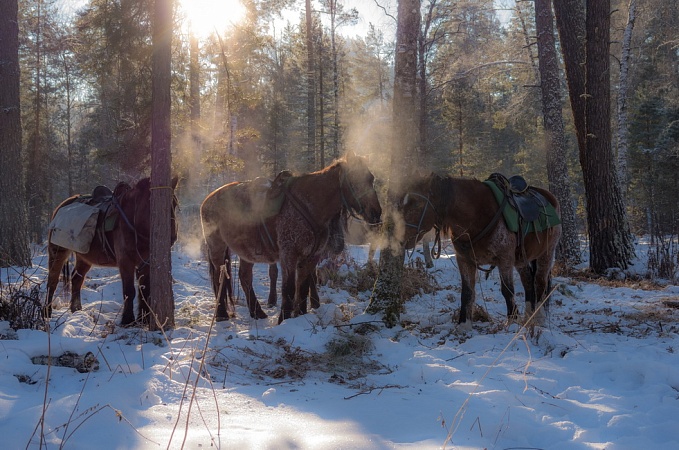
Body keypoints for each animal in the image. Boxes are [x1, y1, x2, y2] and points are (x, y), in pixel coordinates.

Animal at [43, 177, 179, 326]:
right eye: (151, 203)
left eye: (175, 204)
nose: (172, 238)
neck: (133, 222)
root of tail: (60, 207)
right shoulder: (125, 262)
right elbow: (129, 291)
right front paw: (127, 320)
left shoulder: (146, 263)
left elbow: (145, 290)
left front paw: (144, 319)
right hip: (57, 252)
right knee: (52, 280)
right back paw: (47, 312)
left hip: (84, 257)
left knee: (77, 278)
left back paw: (76, 309)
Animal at [201, 151, 382, 324]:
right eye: (355, 179)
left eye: (371, 178)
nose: (376, 213)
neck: (311, 206)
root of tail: (208, 198)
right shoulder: (289, 255)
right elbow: (288, 289)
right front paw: (284, 320)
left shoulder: (311, 257)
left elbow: (302, 287)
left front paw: (300, 315)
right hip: (217, 246)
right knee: (218, 278)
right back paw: (222, 314)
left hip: (247, 252)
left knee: (245, 278)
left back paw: (257, 312)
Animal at [398, 174, 564, 328]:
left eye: (416, 203)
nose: (400, 237)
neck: (477, 216)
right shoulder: (464, 260)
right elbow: (467, 293)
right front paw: (464, 325)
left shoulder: (505, 260)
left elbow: (507, 291)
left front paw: (511, 322)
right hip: (521, 259)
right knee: (528, 281)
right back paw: (529, 317)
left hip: (546, 253)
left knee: (540, 282)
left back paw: (539, 318)